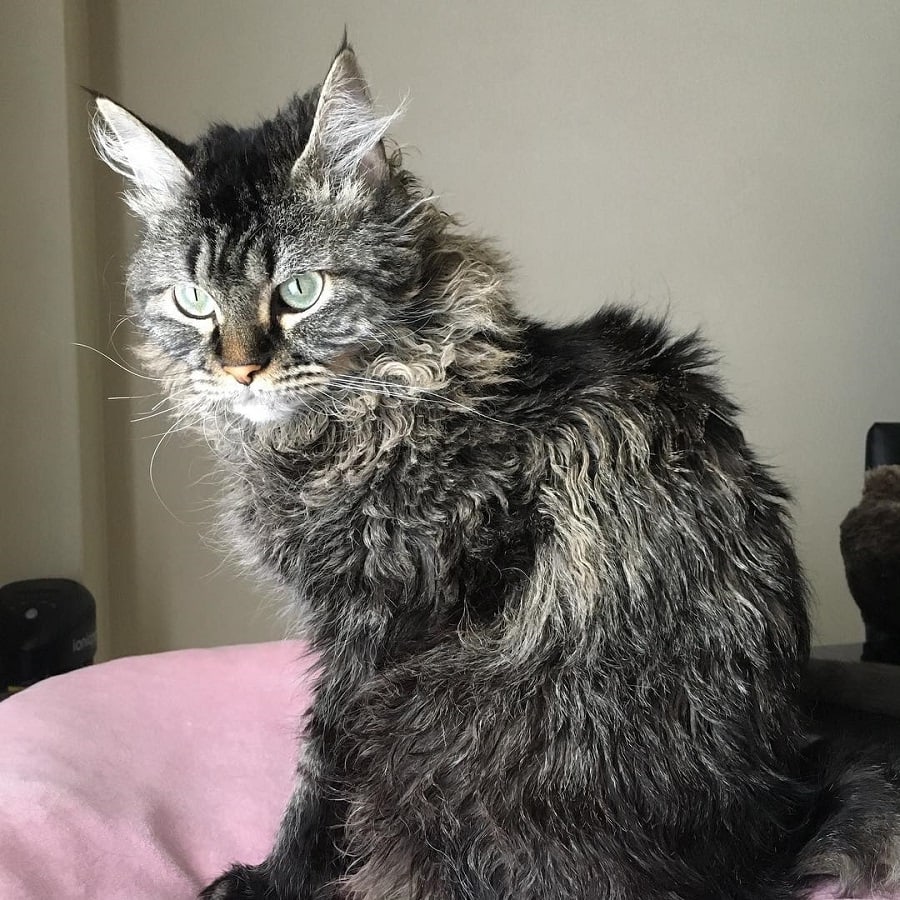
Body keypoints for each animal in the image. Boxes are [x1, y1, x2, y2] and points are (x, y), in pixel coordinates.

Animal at [93, 38, 900, 900]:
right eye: (193, 301)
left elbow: (320, 772)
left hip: (418, 722)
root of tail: (774, 850)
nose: (240, 370)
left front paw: (272, 879)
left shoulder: (380, 632)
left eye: (301, 291)